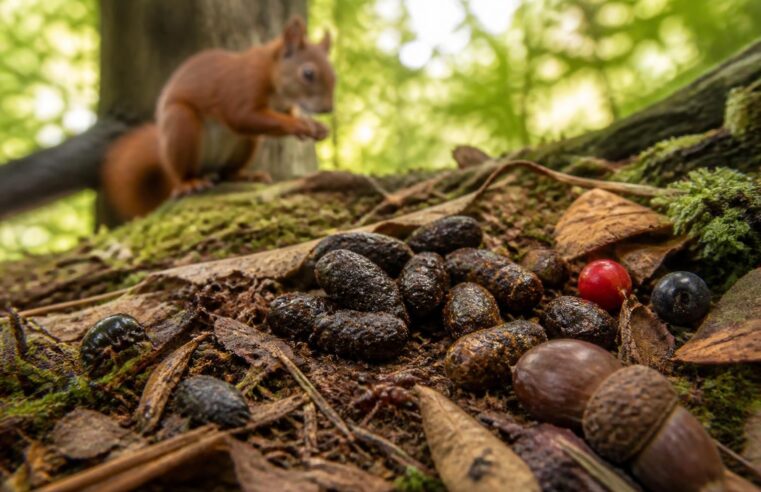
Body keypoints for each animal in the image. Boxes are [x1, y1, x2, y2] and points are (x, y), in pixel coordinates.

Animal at [99, 16, 335, 221]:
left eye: (334, 75)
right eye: (308, 74)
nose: (328, 108)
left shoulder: (283, 106)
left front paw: (315, 126)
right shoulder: (242, 87)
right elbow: (243, 116)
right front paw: (300, 125)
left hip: (246, 144)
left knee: (226, 173)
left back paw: (245, 175)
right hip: (181, 124)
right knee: (182, 174)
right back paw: (189, 183)